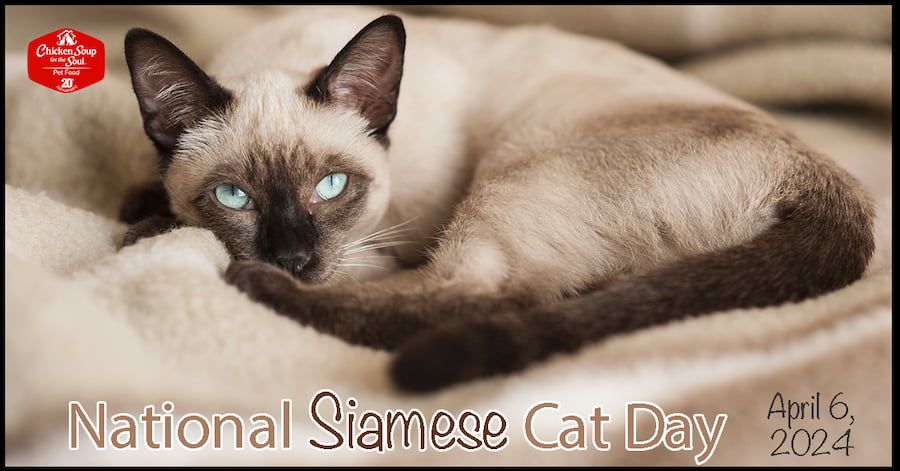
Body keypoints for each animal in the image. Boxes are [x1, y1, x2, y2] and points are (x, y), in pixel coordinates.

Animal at [119, 5, 872, 392]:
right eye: (233, 195)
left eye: (331, 187)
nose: (294, 259)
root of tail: (824, 175)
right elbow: (146, 192)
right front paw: (141, 207)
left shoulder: (382, 243)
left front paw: (152, 229)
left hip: (517, 171)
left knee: (485, 296)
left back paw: (261, 287)